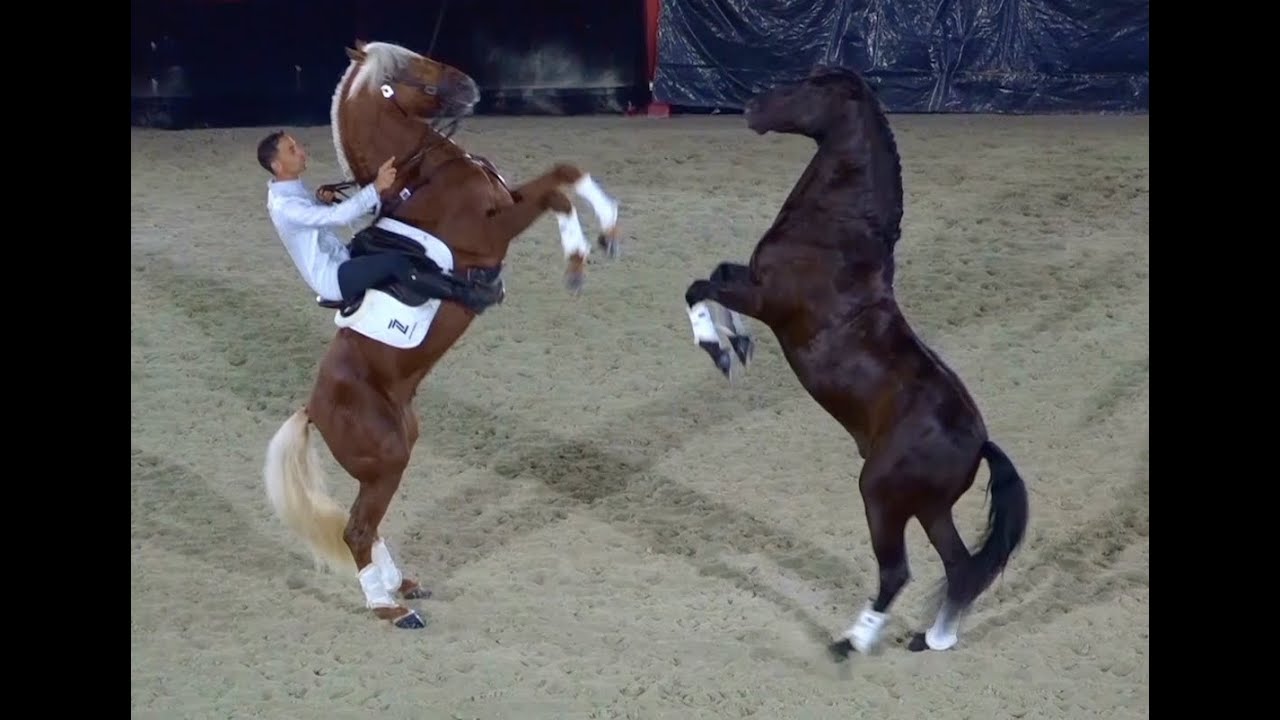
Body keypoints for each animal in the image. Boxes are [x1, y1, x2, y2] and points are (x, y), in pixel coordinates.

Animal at [261, 39, 623, 629]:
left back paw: (400, 584)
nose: (472, 86)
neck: (425, 178)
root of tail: (313, 409)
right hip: (387, 461)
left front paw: (609, 230)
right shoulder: (494, 229)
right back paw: (390, 607)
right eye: (408, 70)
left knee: (369, 528)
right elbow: (558, 197)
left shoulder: (509, 203)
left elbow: (565, 173)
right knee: (357, 530)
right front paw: (576, 260)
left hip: (395, 454)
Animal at [681, 65, 1030, 656]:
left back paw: (851, 643)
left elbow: (700, 286)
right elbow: (714, 275)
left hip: (880, 497)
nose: (750, 108)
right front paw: (737, 345)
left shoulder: (763, 297)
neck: (836, 232)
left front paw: (720, 348)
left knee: (898, 572)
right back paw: (930, 641)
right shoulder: (751, 285)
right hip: (930, 508)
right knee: (959, 567)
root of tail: (979, 442)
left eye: (809, 87)